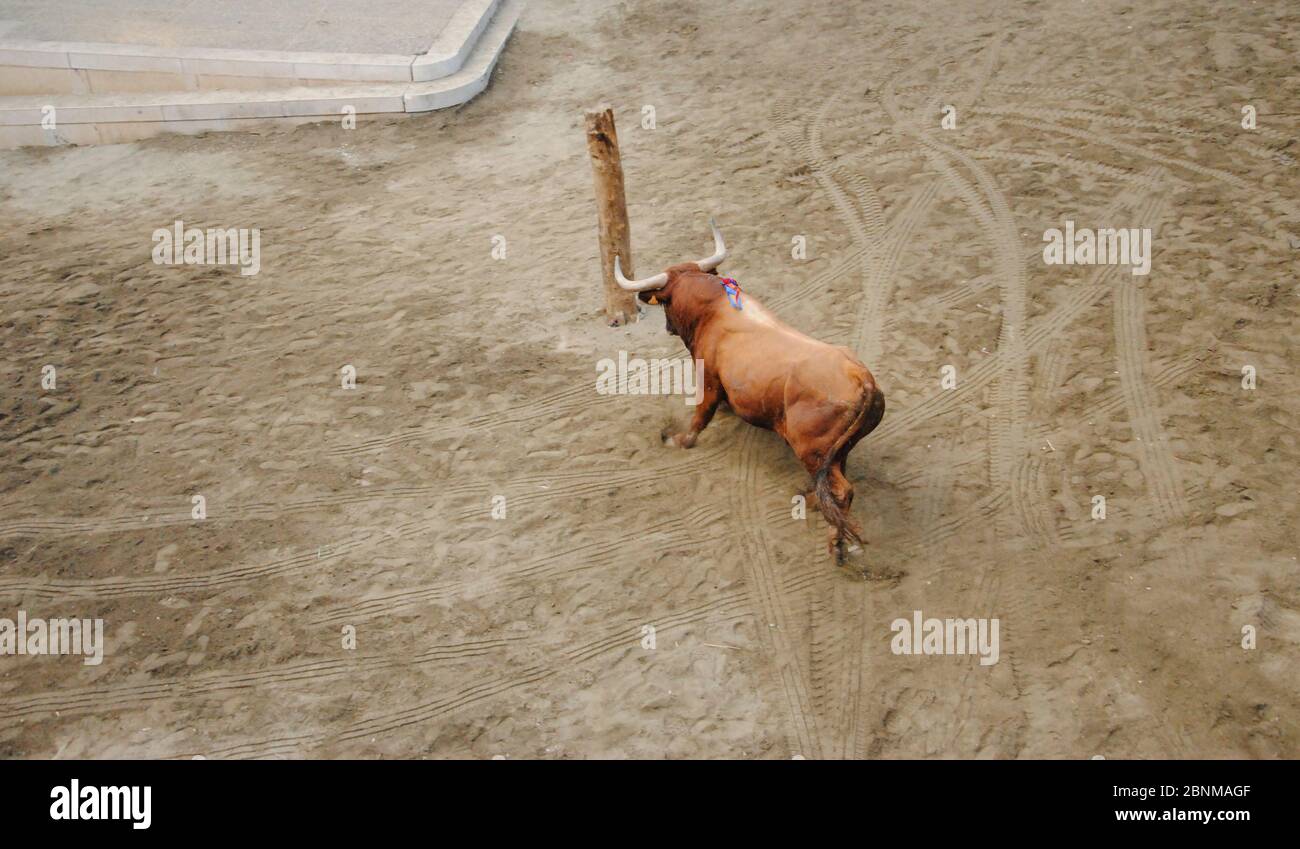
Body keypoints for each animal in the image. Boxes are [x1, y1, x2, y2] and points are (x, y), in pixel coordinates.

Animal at [616, 222, 883, 559]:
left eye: (664, 302)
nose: (668, 328)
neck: (715, 310)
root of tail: (863, 379)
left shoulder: (707, 378)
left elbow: (700, 416)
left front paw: (678, 440)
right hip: (835, 451)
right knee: (832, 484)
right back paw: (812, 500)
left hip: (812, 449)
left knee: (842, 490)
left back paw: (836, 543)